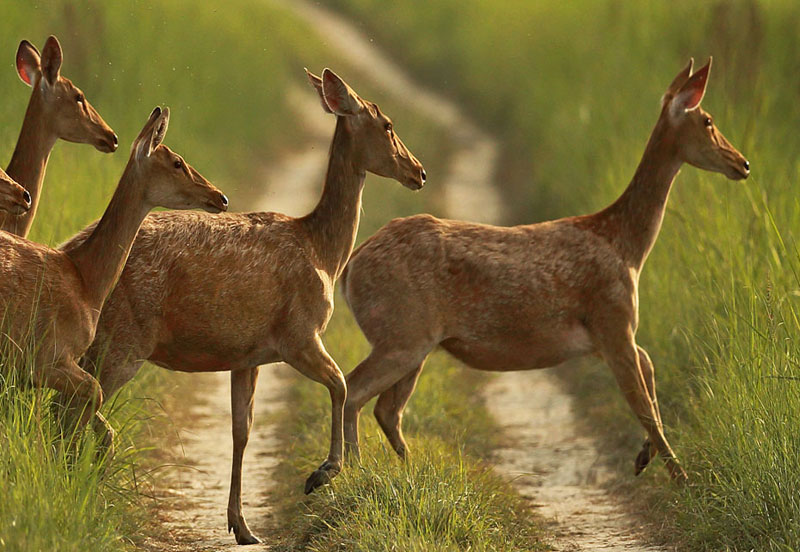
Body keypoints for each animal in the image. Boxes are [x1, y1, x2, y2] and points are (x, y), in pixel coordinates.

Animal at [61, 68, 424, 544]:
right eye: (388, 125)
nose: (419, 171)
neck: (323, 253)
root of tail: (67, 248)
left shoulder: (246, 355)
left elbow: (242, 430)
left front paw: (242, 526)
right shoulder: (297, 333)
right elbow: (341, 384)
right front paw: (322, 474)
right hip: (123, 340)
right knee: (77, 403)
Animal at [340, 58, 752, 480]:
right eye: (708, 120)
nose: (743, 163)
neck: (627, 246)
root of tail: (351, 268)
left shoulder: (606, 335)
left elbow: (650, 373)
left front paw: (644, 457)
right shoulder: (612, 317)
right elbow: (644, 405)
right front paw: (682, 477)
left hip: (414, 341)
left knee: (385, 408)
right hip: (403, 332)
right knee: (353, 389)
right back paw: (344, 469)